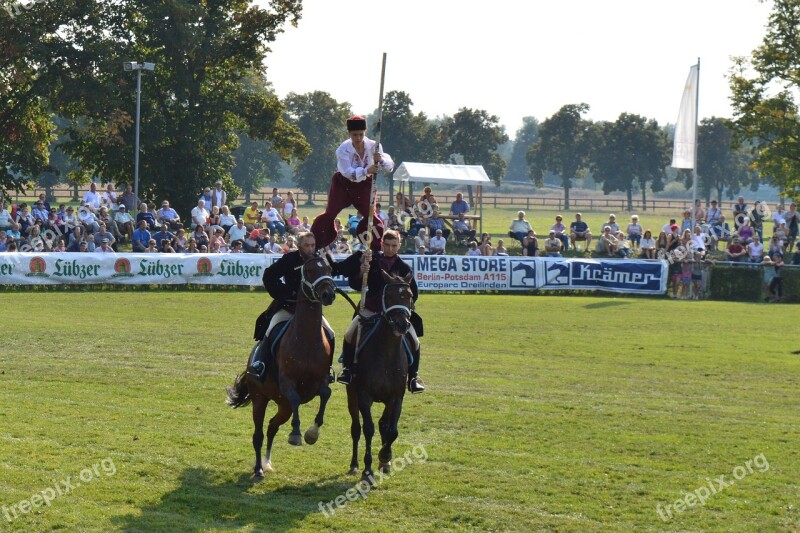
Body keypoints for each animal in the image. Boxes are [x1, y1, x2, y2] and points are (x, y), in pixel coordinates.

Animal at [227, 254, 336, 478]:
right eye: (309, 270)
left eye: (329, 269)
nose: (329, 294)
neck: (307, 339)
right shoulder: (287, 382)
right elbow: (295, 397)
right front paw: (296, 434)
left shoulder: (320, 381)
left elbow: (326, 393)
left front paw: (312, 433)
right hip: (260, 398)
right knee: (259, 434)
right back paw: (259, 469)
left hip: (283, 406)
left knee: (271, 427)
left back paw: (267, 462)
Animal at [346, 270, 416, 482]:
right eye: (390, 295)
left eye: (409, 296)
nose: (402, 325)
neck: (386, 352)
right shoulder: (363, 396)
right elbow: (368, 429)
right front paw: (367, 470)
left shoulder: (396, 397)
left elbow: (391, 430)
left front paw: (385, 458)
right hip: (351, 395)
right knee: (356, 428)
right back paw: (354, 465)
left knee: (383, 424)